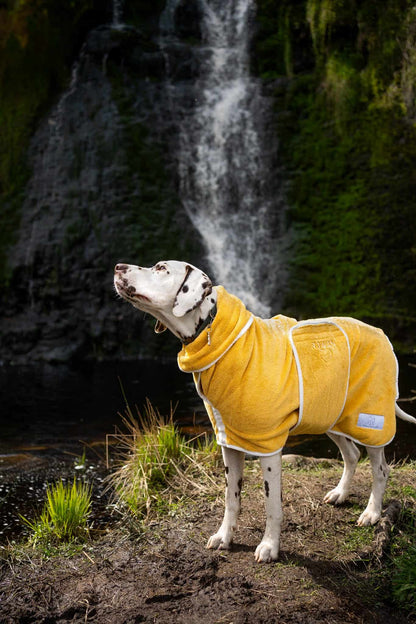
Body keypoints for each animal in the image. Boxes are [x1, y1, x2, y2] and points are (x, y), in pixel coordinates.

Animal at [114, 260, 416, 564]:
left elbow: (272, 505)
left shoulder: (269, 447)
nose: (118, 266)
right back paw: (341, 493)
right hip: (329, 414)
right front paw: (224, 537)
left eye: (160, 268)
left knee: (381, 469)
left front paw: (269, 546)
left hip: (370, 421)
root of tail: (381, 333)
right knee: (352, 454)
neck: (216, 334)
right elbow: (231, 498)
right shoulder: (229, 444)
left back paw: (373, 512)